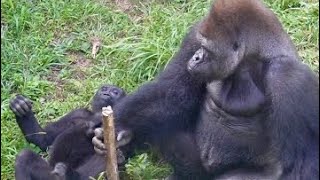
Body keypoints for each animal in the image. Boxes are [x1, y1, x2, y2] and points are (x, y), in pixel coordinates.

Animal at [92, 0, 318, 179]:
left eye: (207, 50)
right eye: (200, 46)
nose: (196, 58)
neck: (250, 60)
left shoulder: (288, 77)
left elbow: (301, 164)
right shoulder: (195, 33)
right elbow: (170, 94)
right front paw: (118, 128)